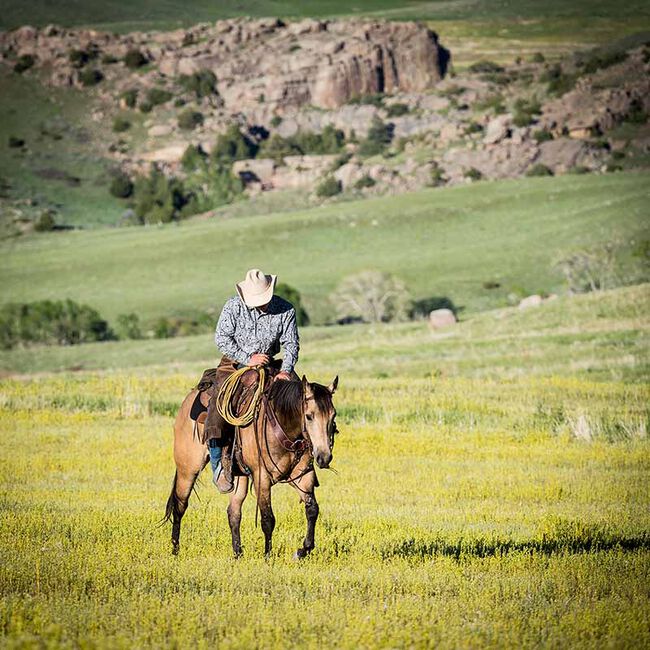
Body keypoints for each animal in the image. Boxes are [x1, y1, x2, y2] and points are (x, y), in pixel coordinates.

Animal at [163, 372, 340, 556]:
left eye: (333, 416)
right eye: (309, 416)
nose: (324, 457)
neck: (282, 426)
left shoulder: (302, 476)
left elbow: (312, 510)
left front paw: (302, 550)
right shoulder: (262, 479)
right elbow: (268, 519)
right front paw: (268, 556)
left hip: (239, 476)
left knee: (233, 512)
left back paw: (237, 553)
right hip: (188, 470)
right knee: (179, 506)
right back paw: (175, 550)